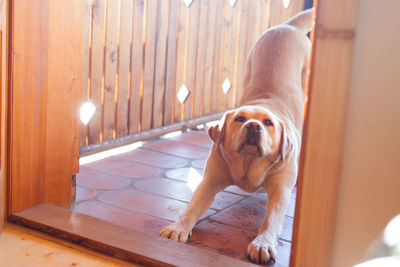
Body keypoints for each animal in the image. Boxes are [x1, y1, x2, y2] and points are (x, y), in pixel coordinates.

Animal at [161, 8, 314, 266]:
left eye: (268, 123)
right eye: (240, 119)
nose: (253, 127)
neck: (248, 165)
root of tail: (287, 26)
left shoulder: (280, 189)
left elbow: (272, 218)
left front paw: (263, 243)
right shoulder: (209, 180)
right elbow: (192, 208)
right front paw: (178, 226)